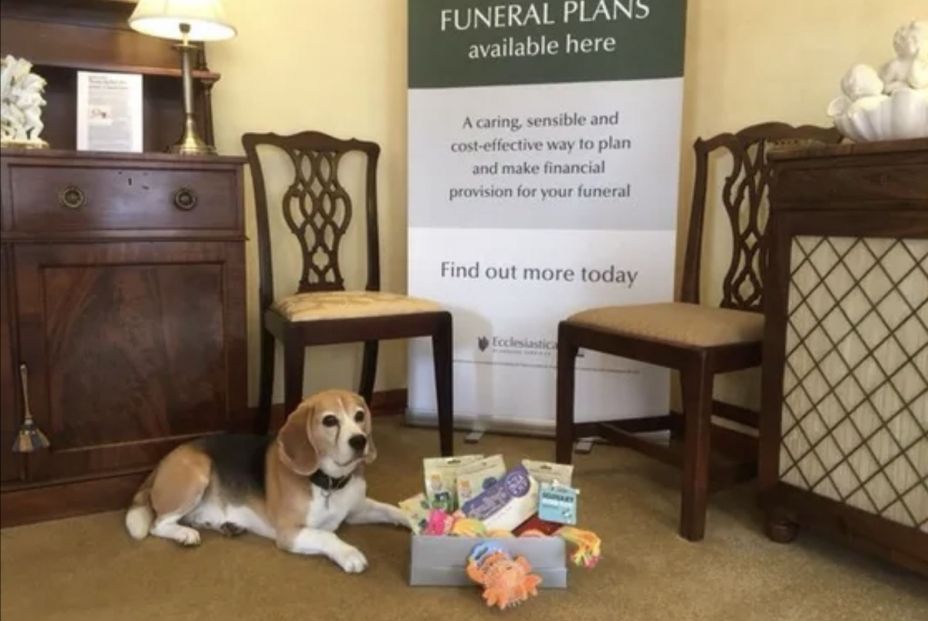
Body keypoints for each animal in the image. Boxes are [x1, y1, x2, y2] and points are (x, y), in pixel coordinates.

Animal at [124, 388, 410, 572]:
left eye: (360, 415)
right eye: (330, 420)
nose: (360, 441)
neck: (329, 482)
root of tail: (162, 463)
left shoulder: (356, 510)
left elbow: (390, 509)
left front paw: (414, 518)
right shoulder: (289, 533)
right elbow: (328, 536)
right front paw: (350, 553)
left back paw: (223, 525)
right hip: (199, 471)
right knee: (158, 524)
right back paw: (185, 534)